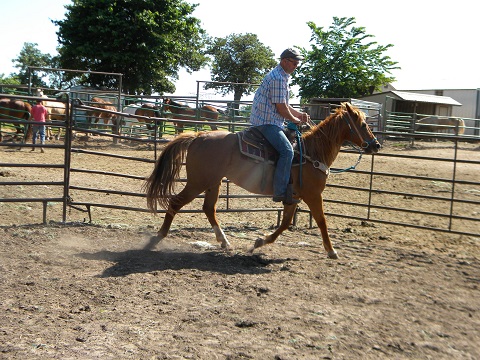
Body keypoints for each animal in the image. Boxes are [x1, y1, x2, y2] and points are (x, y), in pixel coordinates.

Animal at [144, 102, 380, 260]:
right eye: (362, 124)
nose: (376, 145)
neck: (313, 152)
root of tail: (198, 136)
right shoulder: (313, 195)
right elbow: (322, 221)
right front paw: (331, 251)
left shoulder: (293, 197)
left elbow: (285, 224)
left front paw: (258, 243)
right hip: (197, 182)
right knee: (175, 202)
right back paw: (157, 238)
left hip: (213, 182)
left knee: (209, 208)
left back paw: (225, 242)